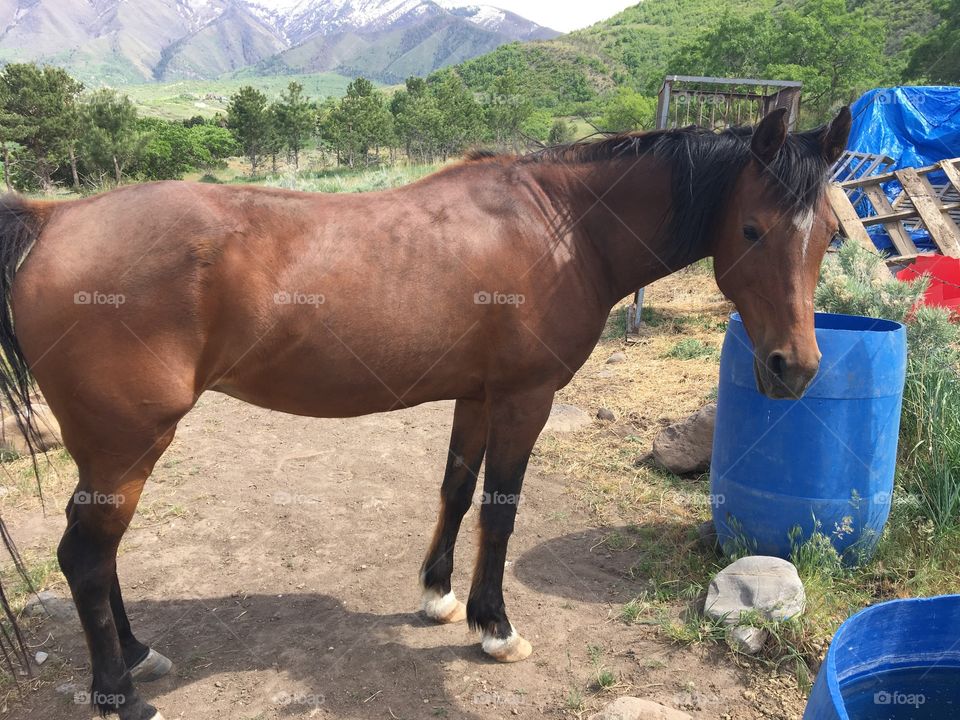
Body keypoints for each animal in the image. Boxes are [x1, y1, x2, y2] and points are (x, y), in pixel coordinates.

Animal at [0, 106, 850, 719]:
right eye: (752, 229)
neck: (564, 225)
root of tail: (53, 219)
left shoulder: (476, 396)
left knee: (98, 552)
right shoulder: (524, 399)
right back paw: (120, 694)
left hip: (111, 448)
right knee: (84, 556)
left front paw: (440, 597)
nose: (794, 368)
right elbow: (501, 511)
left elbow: (457, 491)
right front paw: (495, 628)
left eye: (831, 235)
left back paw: (138, 653)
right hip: (129, 443)